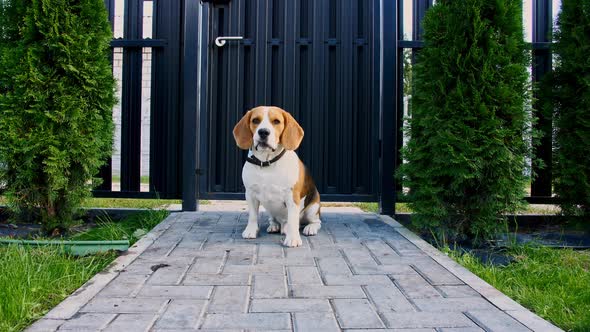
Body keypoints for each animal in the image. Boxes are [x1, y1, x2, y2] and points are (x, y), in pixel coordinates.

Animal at [232, 106, 324, 246]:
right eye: (255, 120)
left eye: (276, 121)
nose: (263, 132)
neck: (266, 162)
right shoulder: (250, 194)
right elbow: (253, 216)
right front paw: (251, 231)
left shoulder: (292, 196)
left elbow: (293, 219)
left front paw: (293, 238)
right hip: (270, 210)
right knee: (275, 220)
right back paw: (274, 226)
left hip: (313, 207)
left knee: (315, 222)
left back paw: (309, 228)